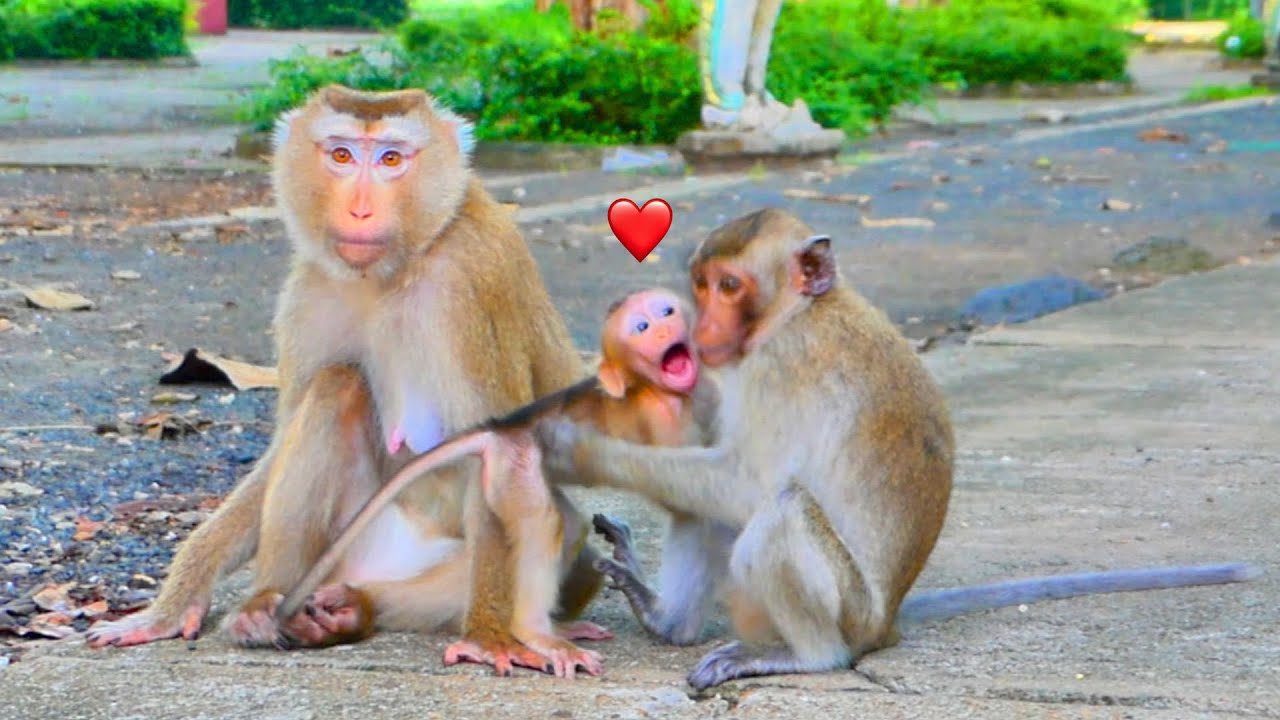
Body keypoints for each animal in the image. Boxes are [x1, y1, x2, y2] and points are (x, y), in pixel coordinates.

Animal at [84, 85, 609, 677]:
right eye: (341, 155)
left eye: (390, 159)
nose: (360, 207)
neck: (395, 270)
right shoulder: (309, 292)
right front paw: (174, 604)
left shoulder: (471, 282)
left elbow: (501, 448)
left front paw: (489, 636)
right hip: (342, 550)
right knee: (337, 385)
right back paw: (276, 608)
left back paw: (358, 610)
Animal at [273, 288, 721, 675]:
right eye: (641, 327)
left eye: (666, 311)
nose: (663, 329)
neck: (662, 394)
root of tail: (500, 429)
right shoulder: (664, 421)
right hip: (516, 466)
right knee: (543, 523)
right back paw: (533, 631)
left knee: (567, 525)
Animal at [536, 207, 1260, 690]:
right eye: (703, 284)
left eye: (730, 287)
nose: (699, 324)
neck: (801, 311)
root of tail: (886, 622)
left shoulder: (780, 364)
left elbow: (745, 481)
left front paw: (575, 449)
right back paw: (669, 622)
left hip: (848, 608)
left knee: (778, 507)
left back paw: (803, 656)